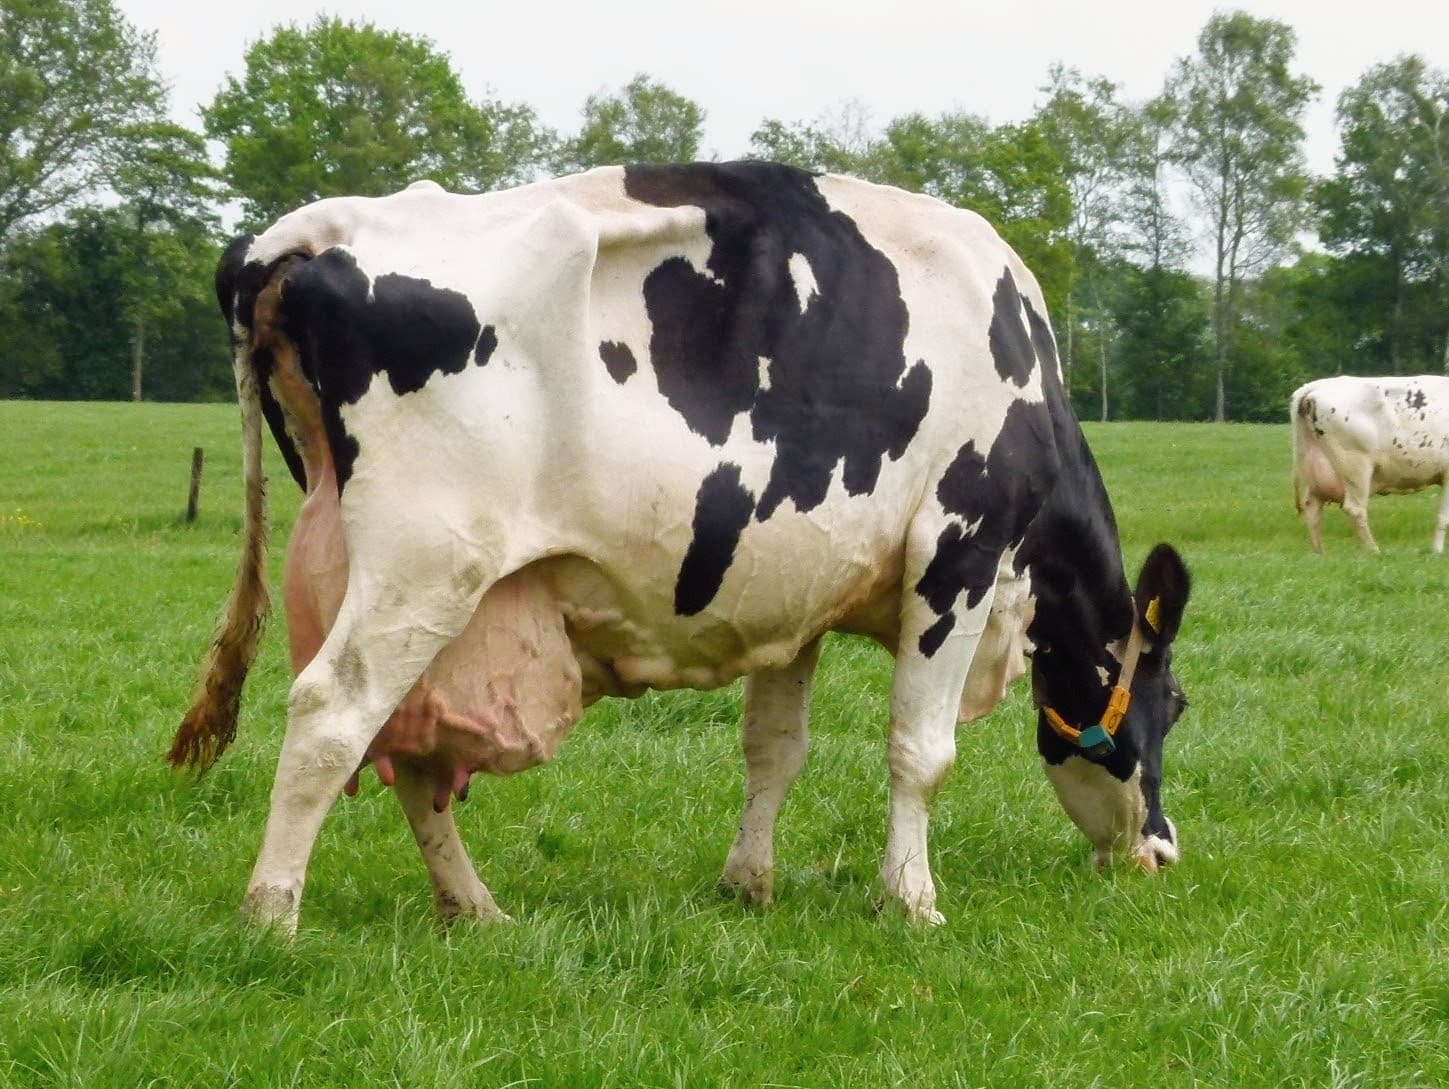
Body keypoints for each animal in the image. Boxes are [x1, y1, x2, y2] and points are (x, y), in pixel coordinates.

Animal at [171, 162, 1192, 932]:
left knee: (411, 752)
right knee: (331, 715)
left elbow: (774, 748)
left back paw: (475, 908)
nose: (1160, 850)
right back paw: (271, 916)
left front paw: (748, 882)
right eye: (1174, 703)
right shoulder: (959, 552)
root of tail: (309, 230)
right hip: (426, 559)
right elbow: (920, 749)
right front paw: (911, 899)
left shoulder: (796, 594)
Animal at [1291, 375, 1449, 553]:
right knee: (1355, 509)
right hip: (1355, 467)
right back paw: (1374, 551)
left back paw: (1319, 553)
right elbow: (1443, 517)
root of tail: (1314, 387)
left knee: (1312, 509)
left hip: (1317, 470)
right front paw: (1437, 552)